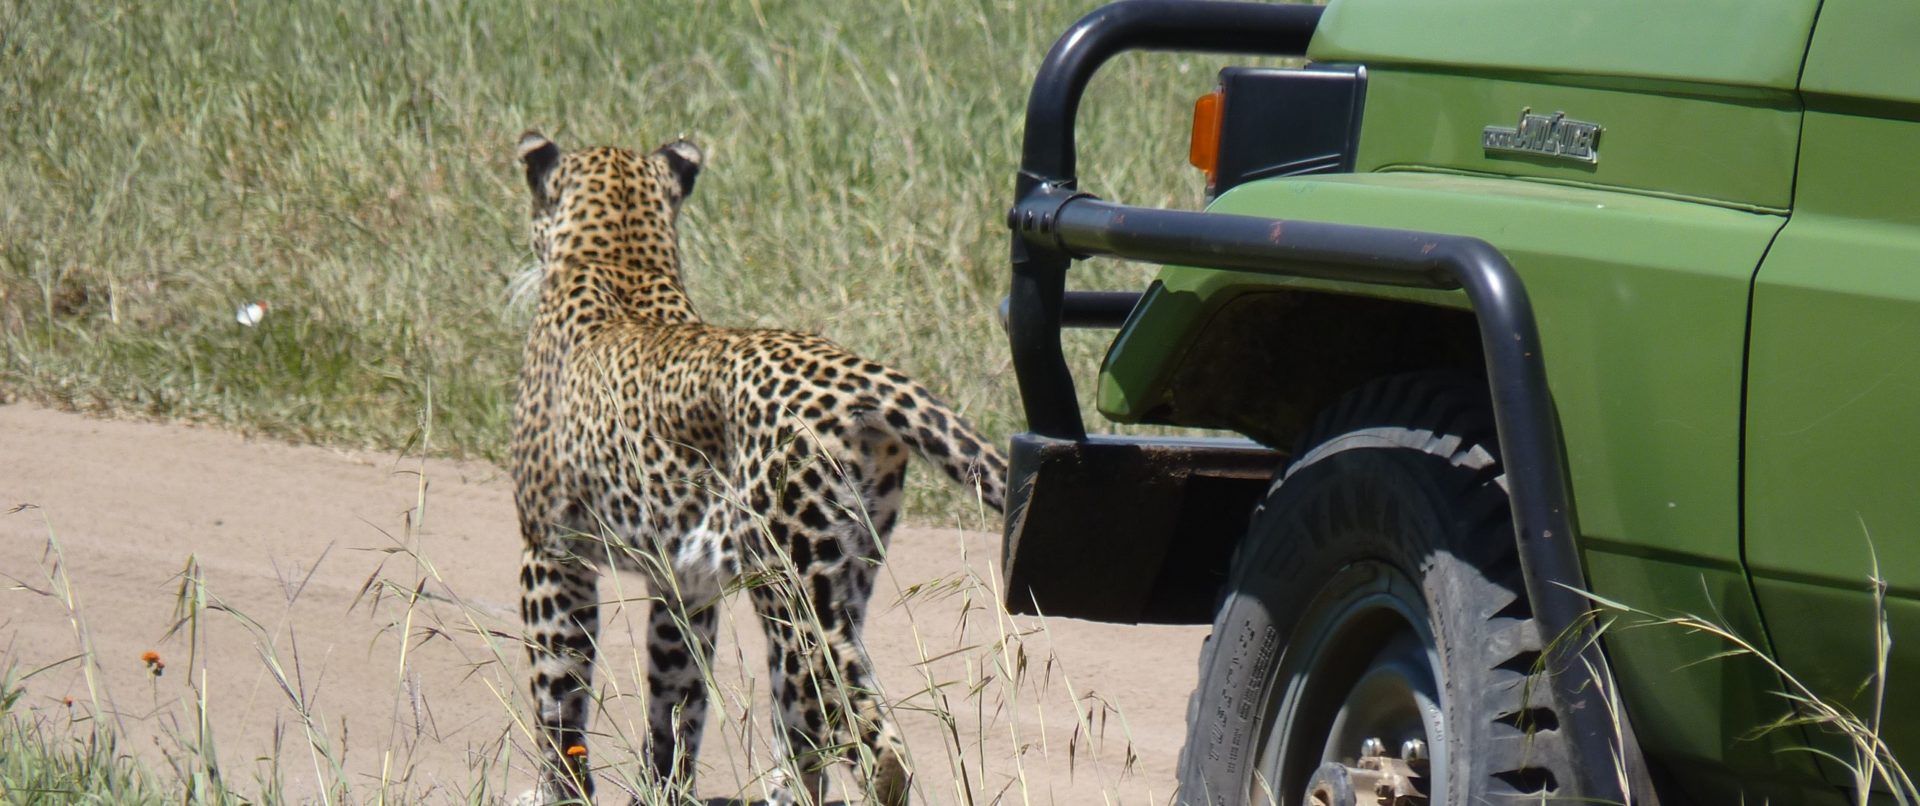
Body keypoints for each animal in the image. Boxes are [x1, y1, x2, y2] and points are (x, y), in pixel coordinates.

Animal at [503, 127, 1013, 806]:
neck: (622, 261)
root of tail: (862, 375)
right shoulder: (684, 584)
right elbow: (676, 705)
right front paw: (661, 788)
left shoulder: (550, 553)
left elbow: (558, 695)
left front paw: (562, 789)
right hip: (844, 576)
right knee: (806, 723)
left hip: (791, 582)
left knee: (869, 740)